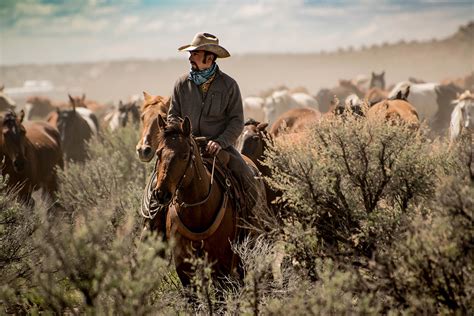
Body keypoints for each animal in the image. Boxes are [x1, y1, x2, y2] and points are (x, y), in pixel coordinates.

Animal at [149, 115, 264, 290]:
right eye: (158, 153)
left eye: (184, 155)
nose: (161, 194)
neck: (197, 211)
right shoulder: (183, 266)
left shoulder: (223, 263)